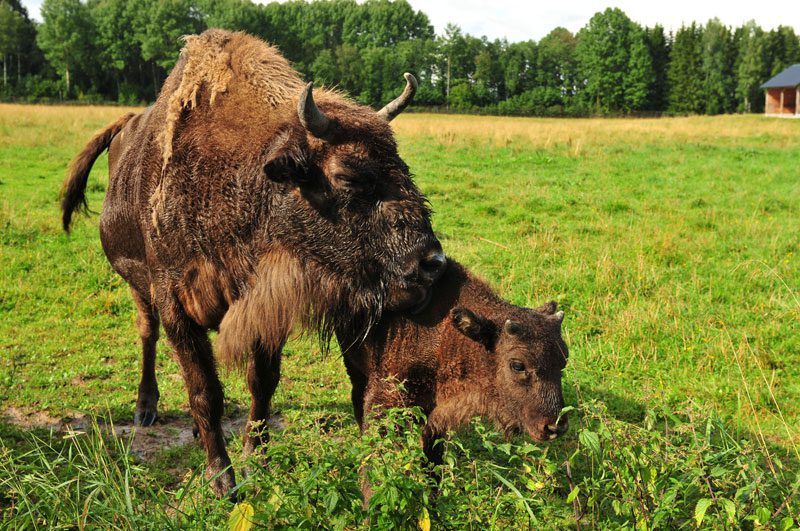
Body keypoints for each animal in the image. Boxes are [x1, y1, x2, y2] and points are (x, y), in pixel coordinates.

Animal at [62, 28, 446, 494]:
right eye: (349, 175)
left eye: (403, 167)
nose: (432, 262)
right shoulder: (175, 303)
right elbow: (204, 391)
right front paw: (220, 479)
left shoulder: (263, 308)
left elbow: (260, 384)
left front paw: (252, 462)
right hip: (137, 285)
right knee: (146, 334)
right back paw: (145, 407)